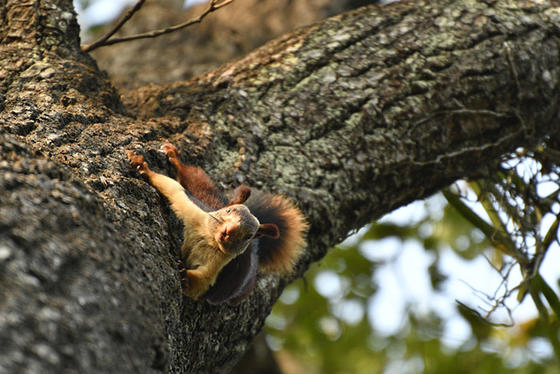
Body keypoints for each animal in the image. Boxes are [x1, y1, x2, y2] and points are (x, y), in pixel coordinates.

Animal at [126, 143, 306, 304]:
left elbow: (201, 285)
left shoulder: (218, 267)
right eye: (229, 211)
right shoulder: (195, 211)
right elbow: (173, 188)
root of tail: (254, 251)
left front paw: (185, 276)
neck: (209, 239)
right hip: (205, 197)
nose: (228, 231)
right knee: (195, 179)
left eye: (248, 235)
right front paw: (142, 166)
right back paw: (174, 156)